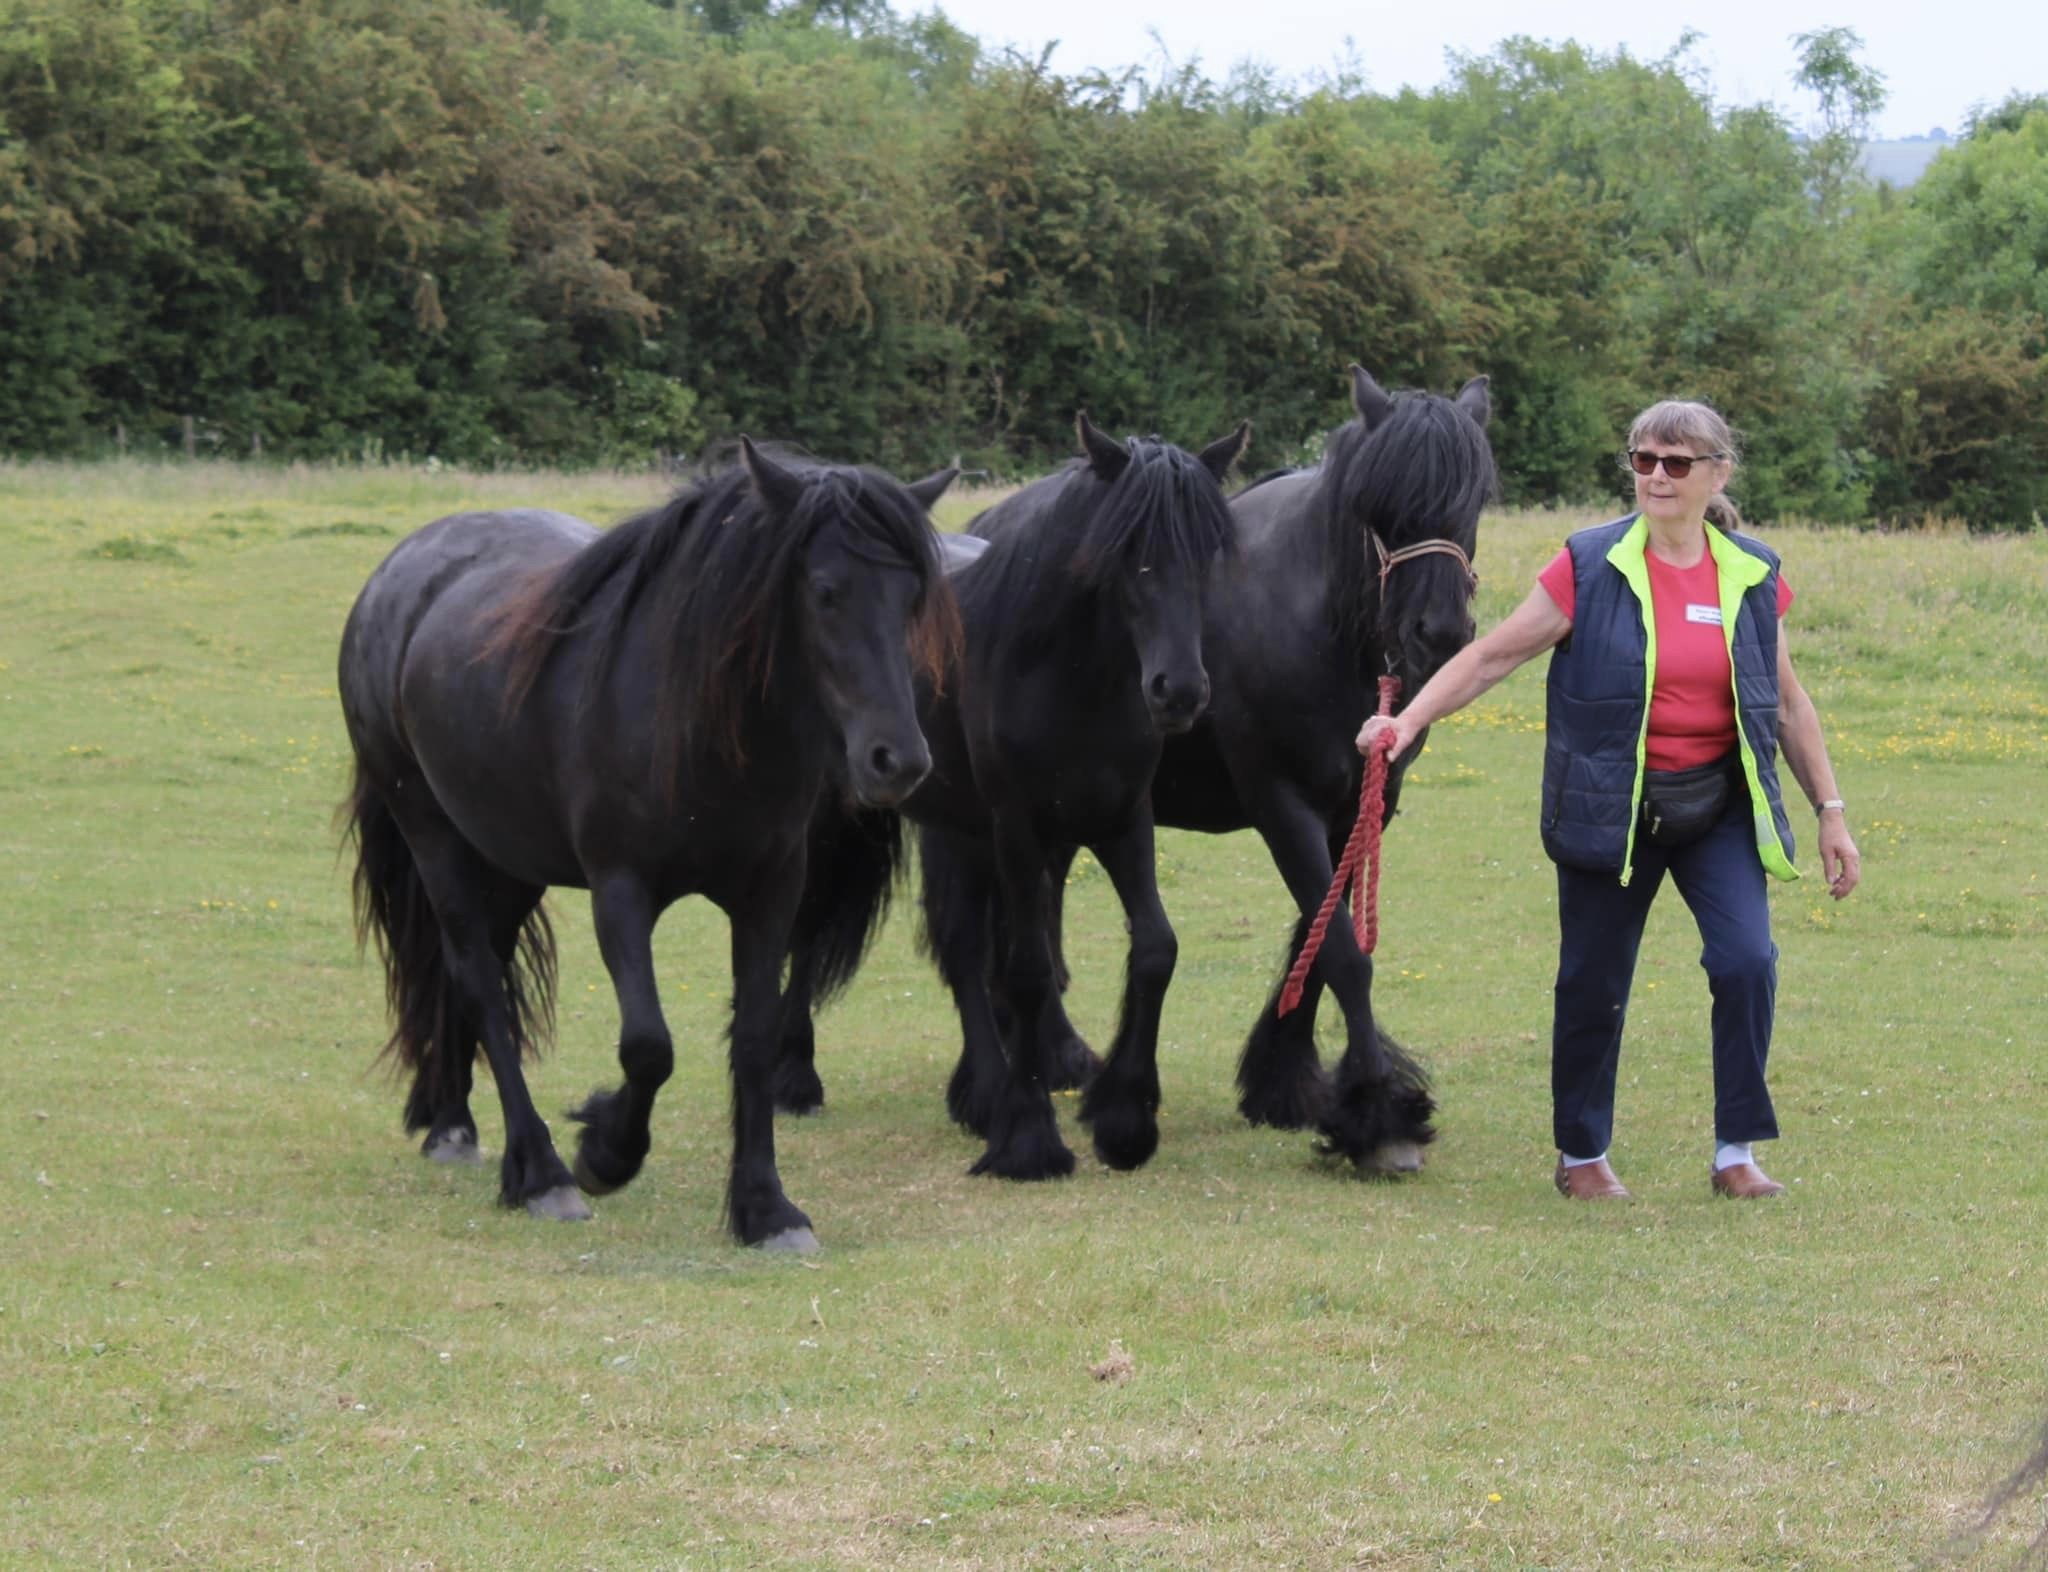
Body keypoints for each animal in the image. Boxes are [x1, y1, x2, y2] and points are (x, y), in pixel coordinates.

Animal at [342, 446, 958, 1252]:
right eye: (826, 592)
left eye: (912, 595)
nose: (899, 761)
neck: (694, 717)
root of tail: (395, 574)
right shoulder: (621, 890)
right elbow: (647, 1046)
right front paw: (604, 1149)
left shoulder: (771, 892)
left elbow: (753, 1039)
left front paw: (765, 1208)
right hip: (434, 837)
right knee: (478, 978)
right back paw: (540, 1172)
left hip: (507, 859)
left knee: (477, 975)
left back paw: (454, 1123)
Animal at [774, 417, 1245, 1179]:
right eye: (1127, 551)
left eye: (1207, 550)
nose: (1179, 691)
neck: (1065, 672)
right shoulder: (1016, 827)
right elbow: (1024, 969)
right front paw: (1029, 1138)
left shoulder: (1121, 819)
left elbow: (1154, 948)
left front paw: (1123, 1116)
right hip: (842, 820)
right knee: (816, 925)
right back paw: (797, 1076)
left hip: (963, 832)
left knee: (964, 947)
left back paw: (992, 1088)